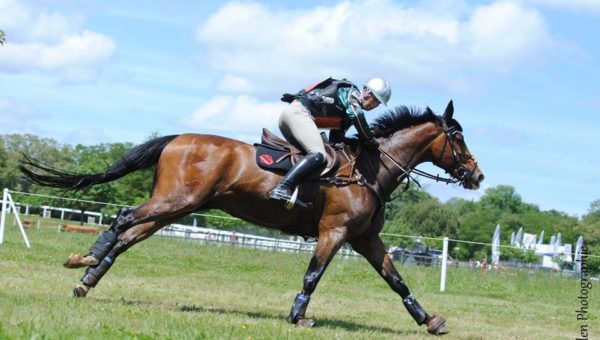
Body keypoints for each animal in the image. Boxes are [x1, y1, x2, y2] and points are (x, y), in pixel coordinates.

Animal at [19, 100, 482, 334]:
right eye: (458, 138)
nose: (477, 175)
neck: (370, 168)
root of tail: (177, 138)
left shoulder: (364, 238)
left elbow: (396, 279)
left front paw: (430, 320)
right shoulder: (335, 232)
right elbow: (313, 275)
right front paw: (298, 316)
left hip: (179, 206)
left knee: (131, 234)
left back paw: (86, 279)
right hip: (175, 200)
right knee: (123, 217)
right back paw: (85, 260)